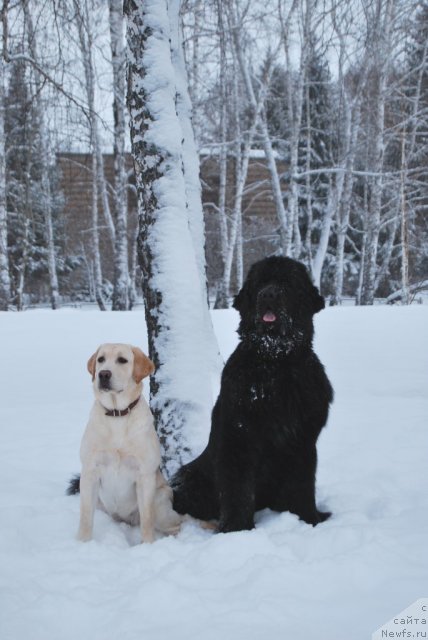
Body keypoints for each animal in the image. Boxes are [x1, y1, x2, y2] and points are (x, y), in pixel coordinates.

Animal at [75, 342, 182, 544]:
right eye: (101, 359)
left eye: (122, 360)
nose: (103, 374)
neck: (117, 414)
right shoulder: (90, 472)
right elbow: (85, 517)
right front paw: (82, 543)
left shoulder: (144, 475)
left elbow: (147, 520)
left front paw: (148, 545)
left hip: (161, 502)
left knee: (175, 525)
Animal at [172, 255, 332, 528]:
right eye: (260, 282)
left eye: (287, 283)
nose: (268, 294)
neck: (276, 364)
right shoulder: (238, 438)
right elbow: (238, 490)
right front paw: (237, 528)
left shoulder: (303, 441)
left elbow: (303, 485)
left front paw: (307, 519)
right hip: (189, 477)